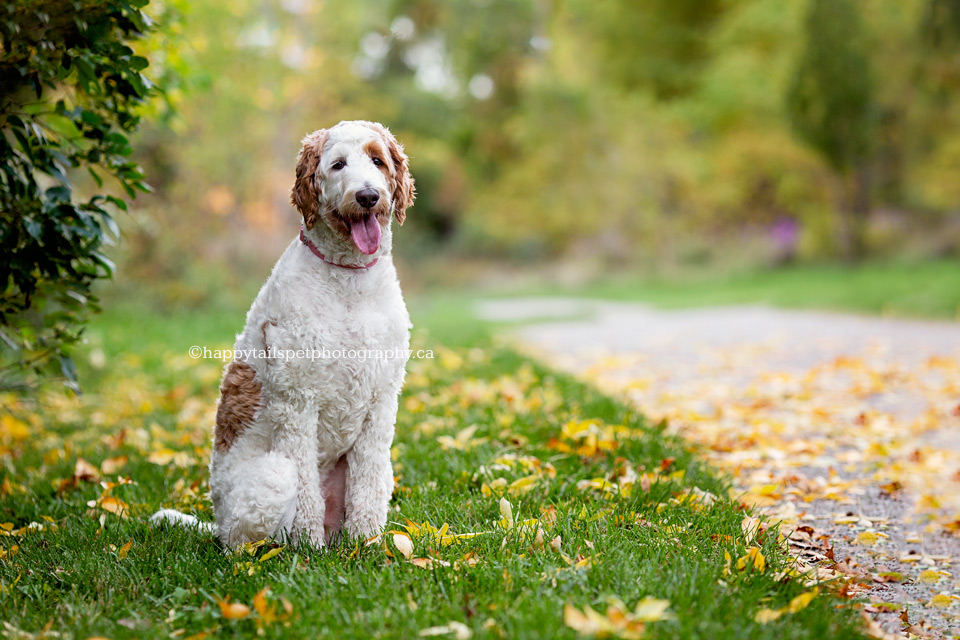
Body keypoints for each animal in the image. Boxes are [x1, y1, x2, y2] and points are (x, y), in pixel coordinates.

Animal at [152, 121, 414, 552]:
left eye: (377, 160)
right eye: (338, 165)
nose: (368, 196)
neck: (349, 283)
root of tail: (216, 522)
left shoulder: (381, 402)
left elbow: (368, 484)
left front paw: (368, 544)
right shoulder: (297, 401)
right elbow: (306, 487)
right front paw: (308, 548)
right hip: (271, 479)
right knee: (240, 541)